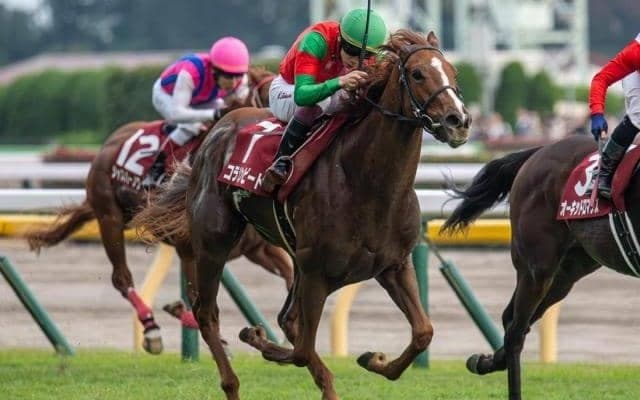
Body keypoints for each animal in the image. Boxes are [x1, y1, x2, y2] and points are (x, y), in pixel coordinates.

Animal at [23, 66, 291, 355]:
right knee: (121, 278)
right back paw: (152, 328)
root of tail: (110, 143)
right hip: (109, 218)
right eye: (268, 97)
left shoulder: (259, 249)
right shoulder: (190, 252)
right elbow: (198, 300)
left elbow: (289, 276)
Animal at [134, 29, 471, 399]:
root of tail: (218, 129)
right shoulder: (316, 272)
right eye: (417, 73)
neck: (367, 181)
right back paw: (232, 382)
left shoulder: (392, 265)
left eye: (453, 72)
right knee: (207, 312)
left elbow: (423, 332)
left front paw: (374, 359)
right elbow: (302, 351)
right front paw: (258, 338)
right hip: (214, 243)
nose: (459, 121)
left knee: (286, 322)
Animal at [439, 134, 640, 400]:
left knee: (513, 320)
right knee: (515, 331)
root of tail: (539, 151)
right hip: (537, 267)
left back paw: (483, 361)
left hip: (567, 272)